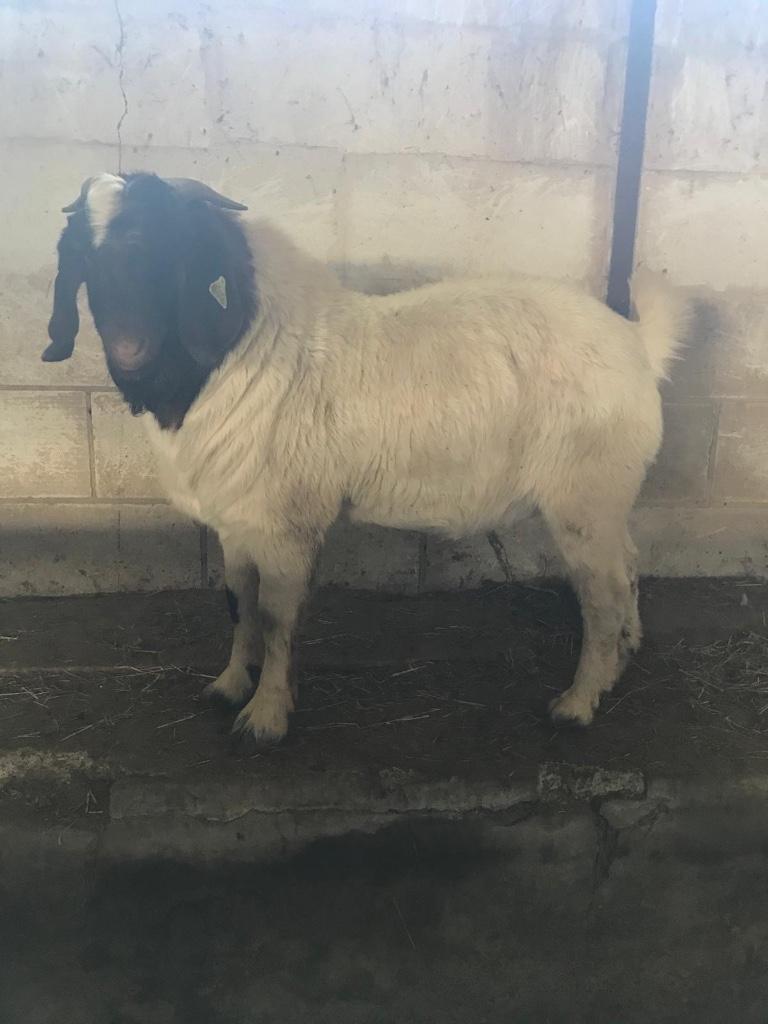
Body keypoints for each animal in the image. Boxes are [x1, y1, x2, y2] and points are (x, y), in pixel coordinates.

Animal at [44, 172, 687, 748]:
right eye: (84, 256)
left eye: (167, 244)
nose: (129, 348)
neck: (249, 344)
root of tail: (638, 345)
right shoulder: (238, 518)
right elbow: (238, 602)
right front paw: (229, 685)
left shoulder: (287, 523)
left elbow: (276, 617)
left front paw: (266, 718)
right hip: (606, 499)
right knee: (629, 568)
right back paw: (623, 656)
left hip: (583, 497)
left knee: (602, 596)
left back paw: (578, 704)